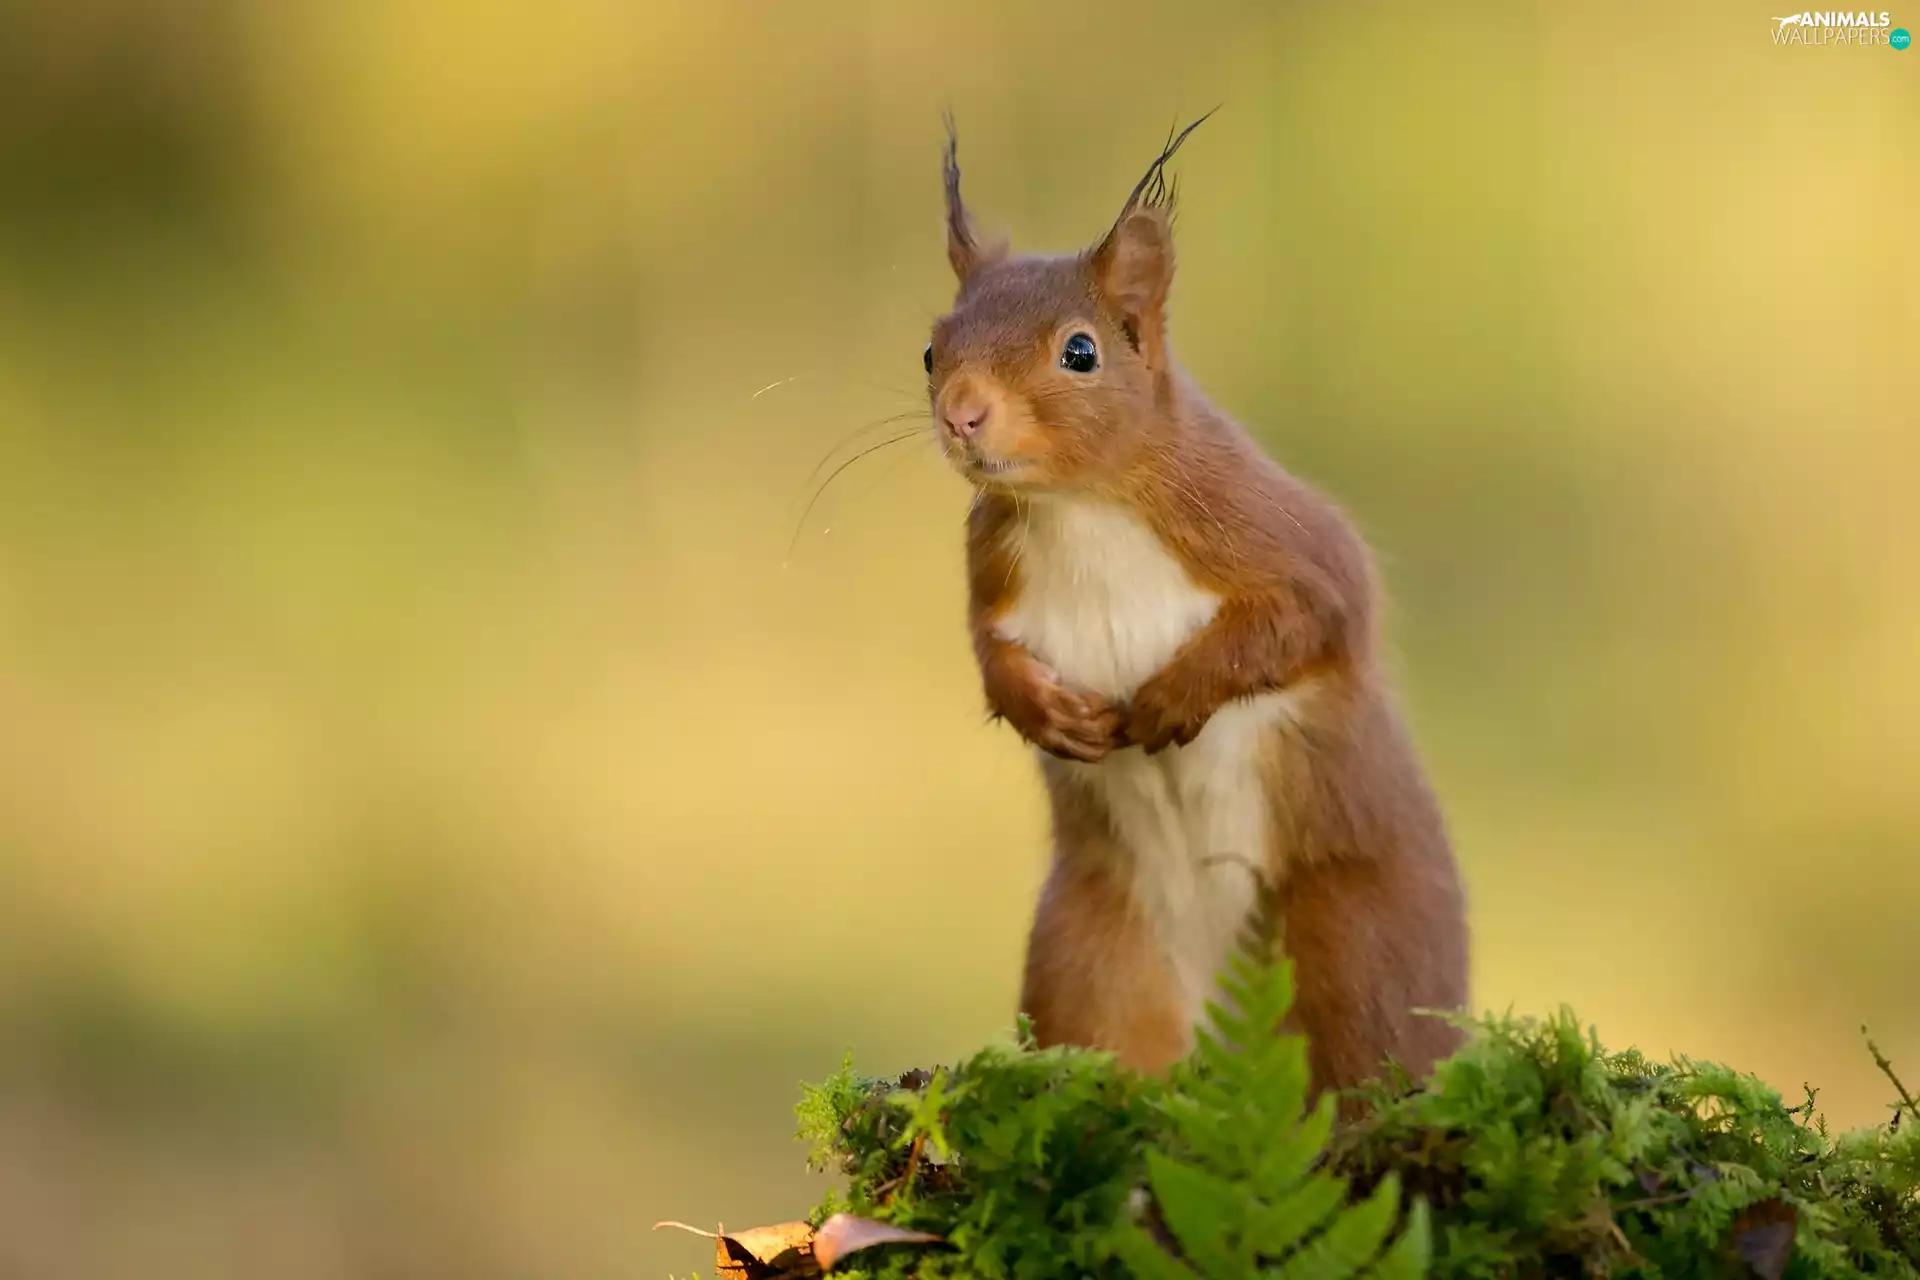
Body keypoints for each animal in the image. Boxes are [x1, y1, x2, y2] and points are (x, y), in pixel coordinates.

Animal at [923, 114, 1470, 1110]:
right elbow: (987, 652)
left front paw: (1177, 696)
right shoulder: (994, 572)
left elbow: (1310, 618)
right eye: (932, 349)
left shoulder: (1271, 533)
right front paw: (1045, 711)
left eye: (1081, 352)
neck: (1081, 508)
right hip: (1088, 957)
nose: (961, 414)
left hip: (1357, 941)